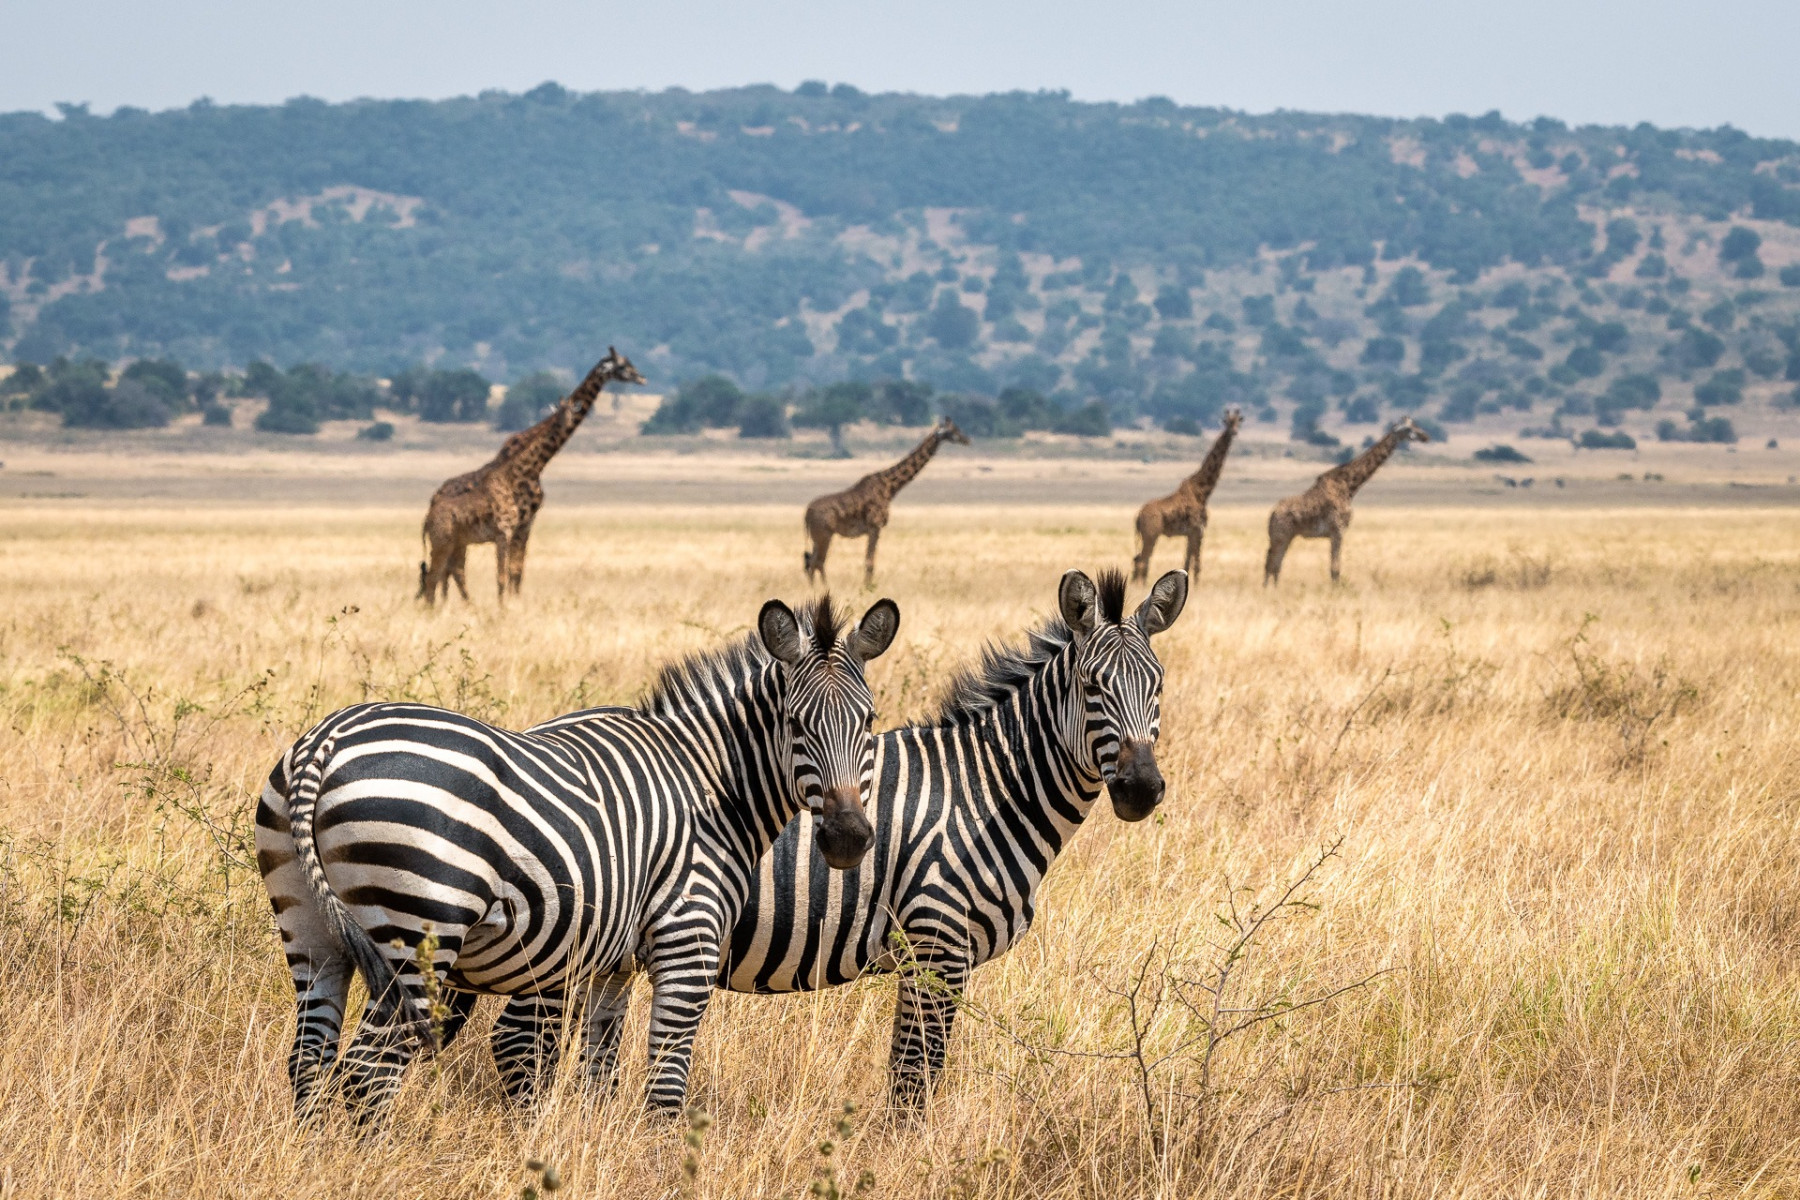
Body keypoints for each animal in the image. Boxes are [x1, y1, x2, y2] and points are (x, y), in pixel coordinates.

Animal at [257, 597, 900, 1122]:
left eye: (869, 721)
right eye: (795, 723)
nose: (848, 838)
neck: (709, 785)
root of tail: (326, 741)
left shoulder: (609, 964)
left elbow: (599, 1070)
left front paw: (594, 1147)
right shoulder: (687, 940)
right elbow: (665, 1083)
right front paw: (662, 1163)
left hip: (311, 931)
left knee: (309, 1057)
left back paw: (318, 1156)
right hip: (419, 934)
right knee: (368, 1069)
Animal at [415, 352, 648, 604]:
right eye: (623, 366)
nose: (641, 377)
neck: (536, 466)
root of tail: (434, 498)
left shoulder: (525, 524)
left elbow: (516, 571)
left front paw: (514, 603)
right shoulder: (517, 525)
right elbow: (509, 572)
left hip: (460, 539)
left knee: (447, 572)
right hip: (456, 538)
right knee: (446, 572)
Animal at [806, 417, 972, 586]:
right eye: (952, 430)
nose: (967, 440)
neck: (889, 487)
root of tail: (806, 514)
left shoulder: (873, 529)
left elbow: (869, 561)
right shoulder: (875, 527)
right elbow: (869, 562)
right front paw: (867, 588)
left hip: (818, 536)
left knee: (811, 562)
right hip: (824, 534)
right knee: (817, 562)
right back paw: (824, 589)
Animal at [1130, 406, 1245, 582]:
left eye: (1238, 421)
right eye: (1227, 422)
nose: (1234, 432)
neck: (1203, 491)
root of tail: (1138, 516)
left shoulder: (1191, 534)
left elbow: (1187, 563)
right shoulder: (1198, 531)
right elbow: (1196, 565)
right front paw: (1197, 586)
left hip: (1146, 536)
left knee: (1139, 560)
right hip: (1151, 534)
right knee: (1142, 561)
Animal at [1267, 415, 1432, 590]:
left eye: (1415, 424)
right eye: (1408, 429)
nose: (1425, 436)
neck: (1349, 486)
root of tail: (1272, 514)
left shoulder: (1336, 532)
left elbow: (1334, 568)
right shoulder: (1338, 530)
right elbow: (1335, 569)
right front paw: (1336, 591)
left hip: (1286, 536)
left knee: (1275, 564)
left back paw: (1273, 589)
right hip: (1281, 535)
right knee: (1271, 563)